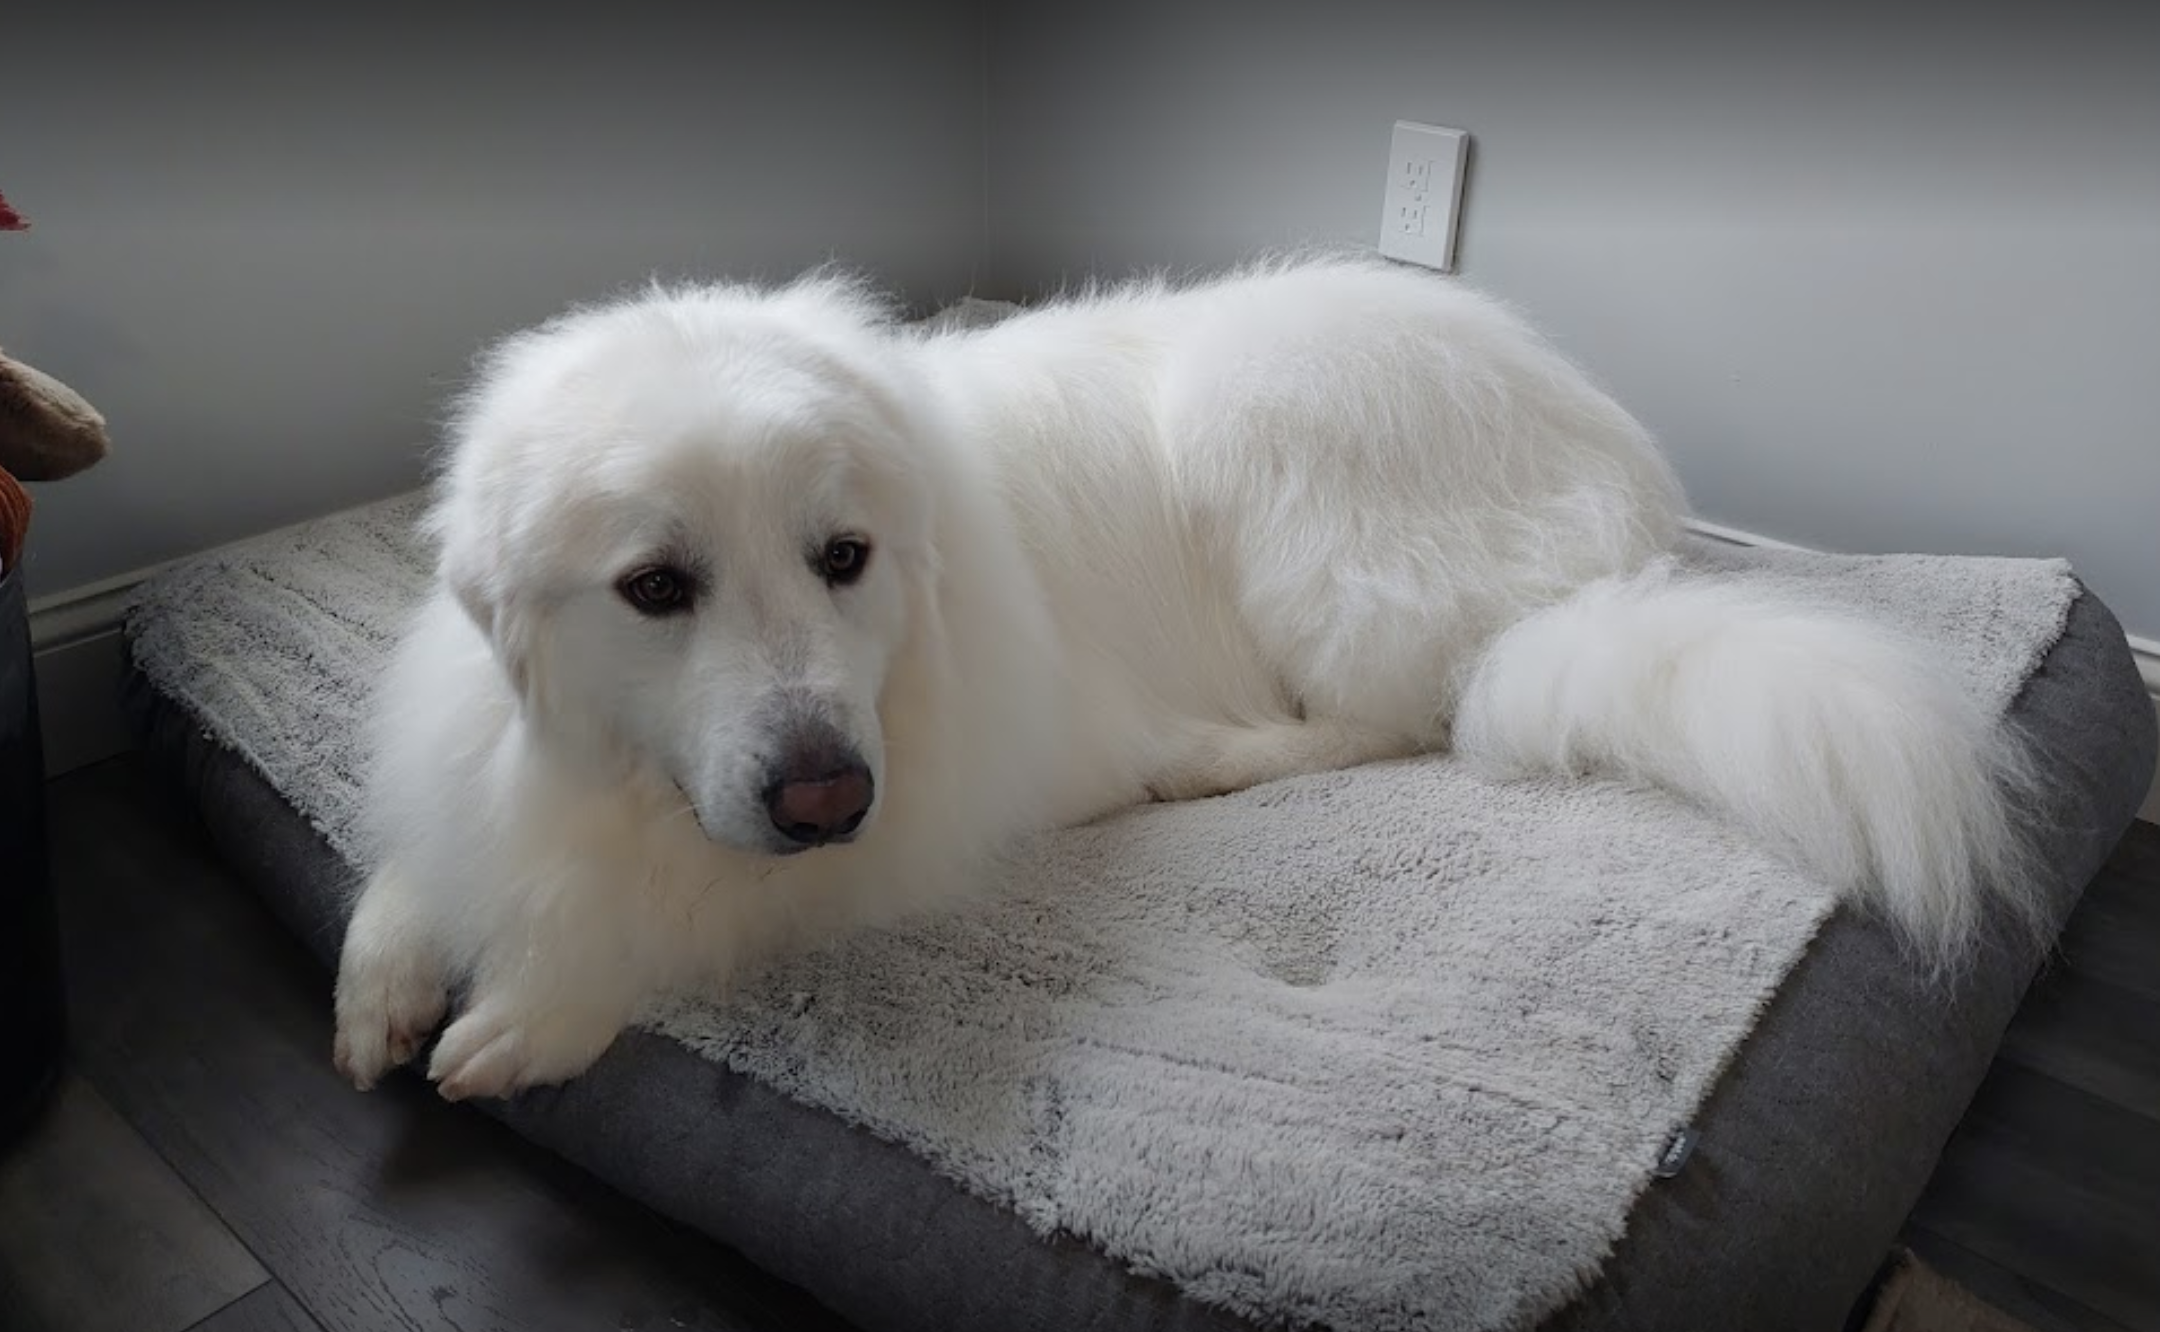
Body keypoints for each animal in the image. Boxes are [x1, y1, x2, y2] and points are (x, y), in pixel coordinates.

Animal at [328, 254, 2030, 1096]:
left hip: (1271, 442)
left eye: (844, 557)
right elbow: (426, 846)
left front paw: (538, 1012)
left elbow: (687, 909)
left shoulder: (921, 805)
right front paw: (390, 966)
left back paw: (1211, 758)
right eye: (655, 590)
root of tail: (1618, 473)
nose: (825, 793)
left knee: (1408, 716)